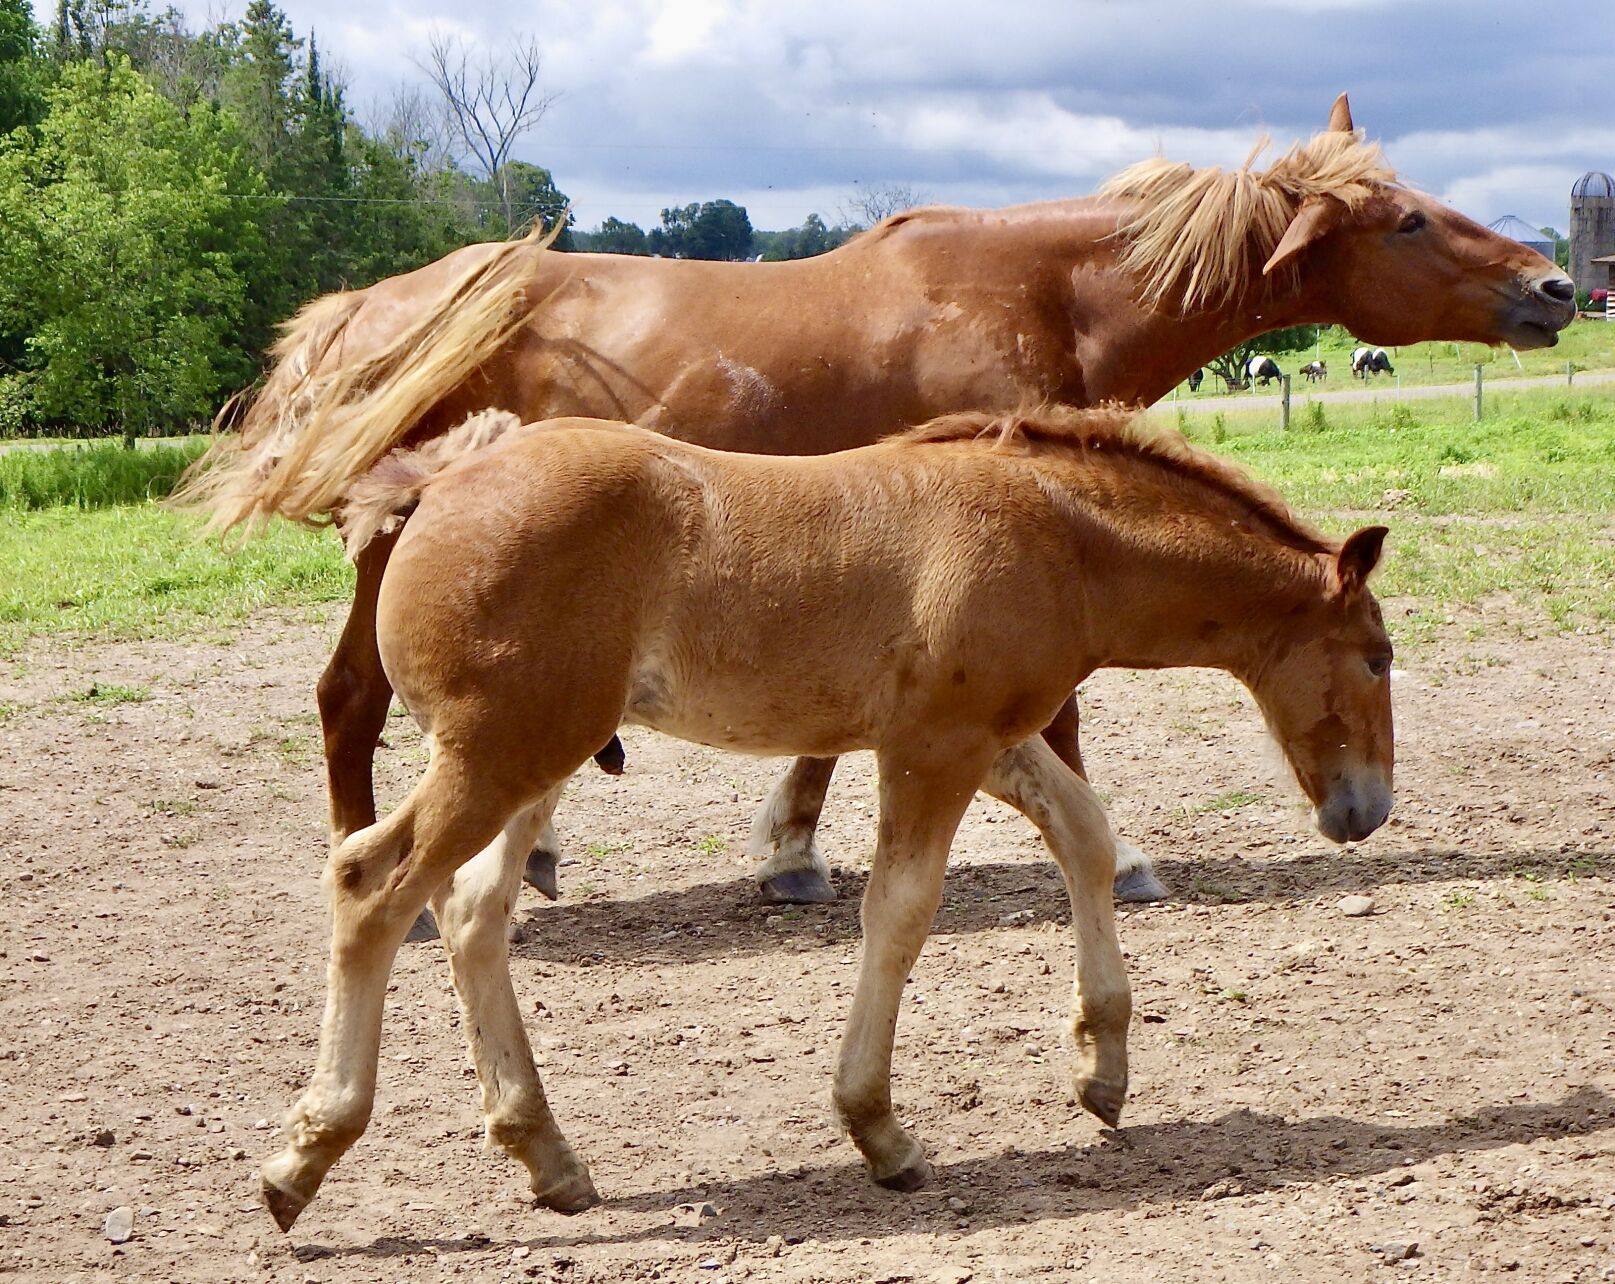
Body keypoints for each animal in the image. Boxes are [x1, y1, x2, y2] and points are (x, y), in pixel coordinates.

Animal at [174, 92, 1571, 913]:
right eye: (1405, 221)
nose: (1557, 285)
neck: (1036, 290)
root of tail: (369, 307)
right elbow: (1058, 721)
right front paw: (1120, 860)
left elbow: (830, 730)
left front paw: (790, 851)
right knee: (349, 704)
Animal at [258, 405, 1396, 1232]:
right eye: (1379, 656)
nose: (1365, 810)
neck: (1059, 538)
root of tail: (433, 489)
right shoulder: (934, 748)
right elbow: (899, 913)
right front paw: (880, 1132)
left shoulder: (991, 736)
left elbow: (1083, 833)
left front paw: (1102, 1070)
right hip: (501, 753)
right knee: (371, 884)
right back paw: (303, 1158)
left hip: (531, 756)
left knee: (469, 909)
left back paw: (548, 1158)